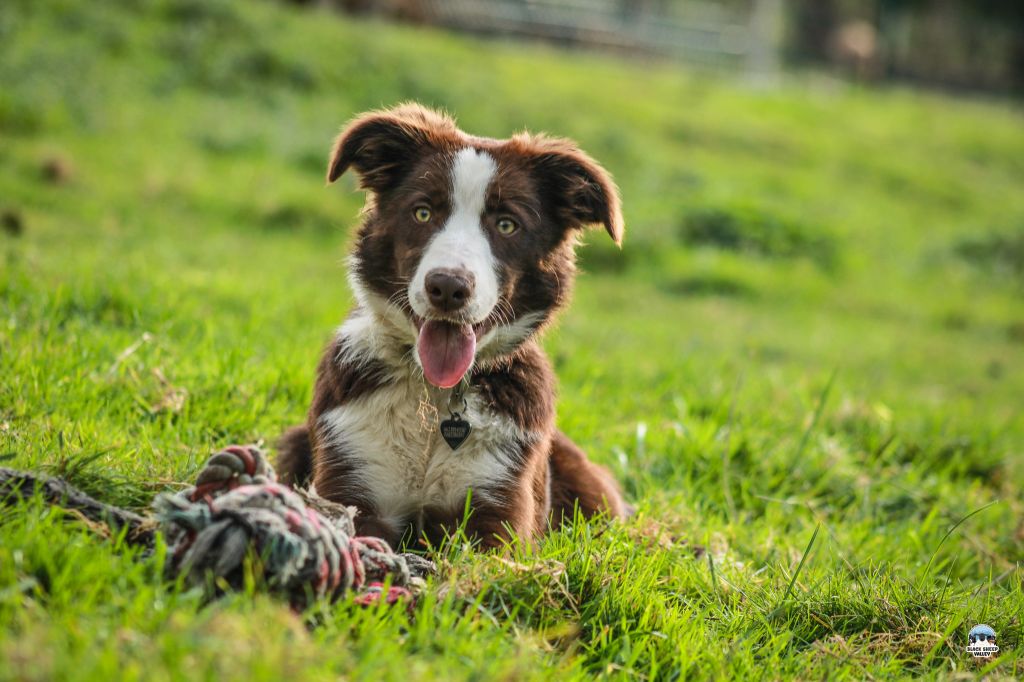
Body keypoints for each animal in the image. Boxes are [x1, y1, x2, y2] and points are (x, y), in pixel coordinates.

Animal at [280, 103, 630, 548]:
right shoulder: (353, 482)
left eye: (506, 224)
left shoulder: (497, 508)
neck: (435, 398)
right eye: (423, 212)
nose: (448, 287)